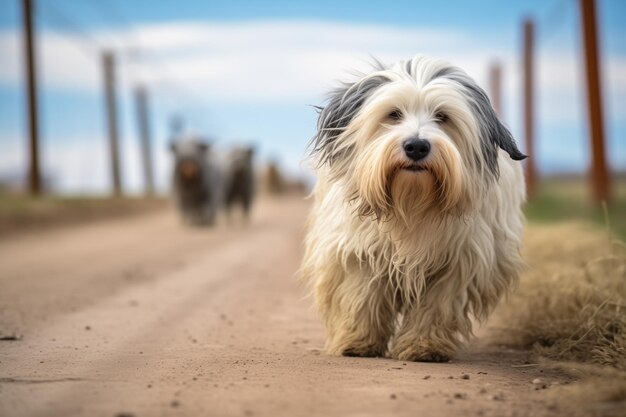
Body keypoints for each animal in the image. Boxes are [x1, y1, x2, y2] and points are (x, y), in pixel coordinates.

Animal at [300, 55, 524, 360]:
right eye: (393, 114)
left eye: (442, 117)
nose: (416, 146)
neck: (411, 202)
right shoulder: (358, 250)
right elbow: (361, 294)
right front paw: (358, 341)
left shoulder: (458, 260)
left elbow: (437, 305)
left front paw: (424, 346)